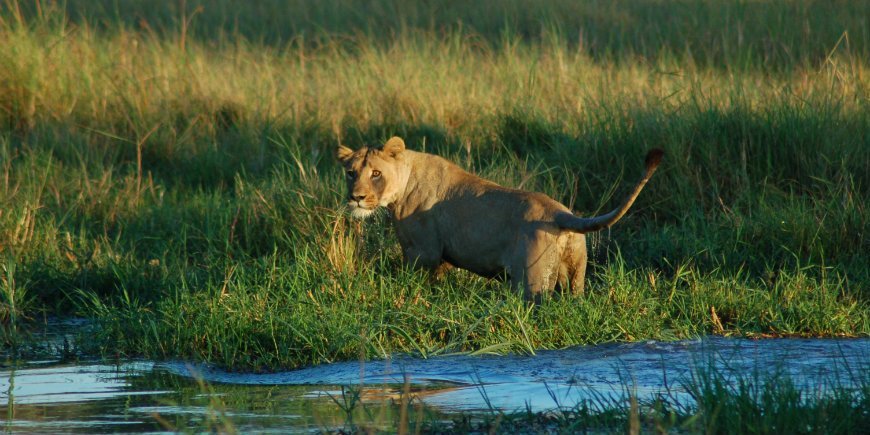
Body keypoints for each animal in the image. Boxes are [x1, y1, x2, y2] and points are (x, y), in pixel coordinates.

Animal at [336, 136, 663, 301]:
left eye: (375, 173)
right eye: (350, 173)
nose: (356, 197)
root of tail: (560, 213)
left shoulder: (423, 252)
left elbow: (414, 278)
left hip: (532, 280)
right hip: (576, 274)